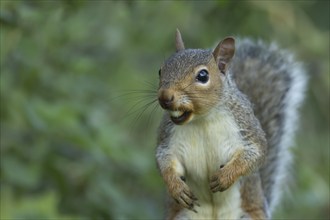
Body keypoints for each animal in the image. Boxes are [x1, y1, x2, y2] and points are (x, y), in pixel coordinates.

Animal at [155, 29, 306, 220]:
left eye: (203, 76)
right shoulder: (167, 136)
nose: (165, 97)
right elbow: (164, 160)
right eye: (160, 70)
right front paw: (176, 188)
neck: (201, 119)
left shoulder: (245, 125)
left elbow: (256, 153)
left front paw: (225, 177)